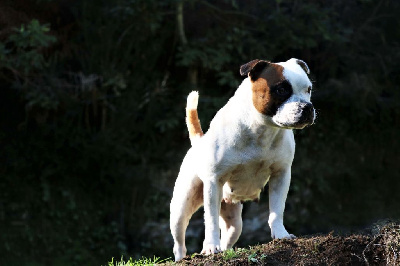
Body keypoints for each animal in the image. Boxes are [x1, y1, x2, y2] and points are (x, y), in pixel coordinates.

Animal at [169, 58, 316, 262]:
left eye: (308, 89)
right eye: (281, 90)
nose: (307, 107)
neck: (261, 129)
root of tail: (199, 141)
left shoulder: (281, 175)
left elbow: (276, 210)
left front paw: (281, 235)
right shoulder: (214, 182)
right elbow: (211, 220)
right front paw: (210, 246)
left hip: (234, 222)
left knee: (229, 235)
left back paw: (225, 250)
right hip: (181, 208)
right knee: (179, 241)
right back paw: (182, 258)